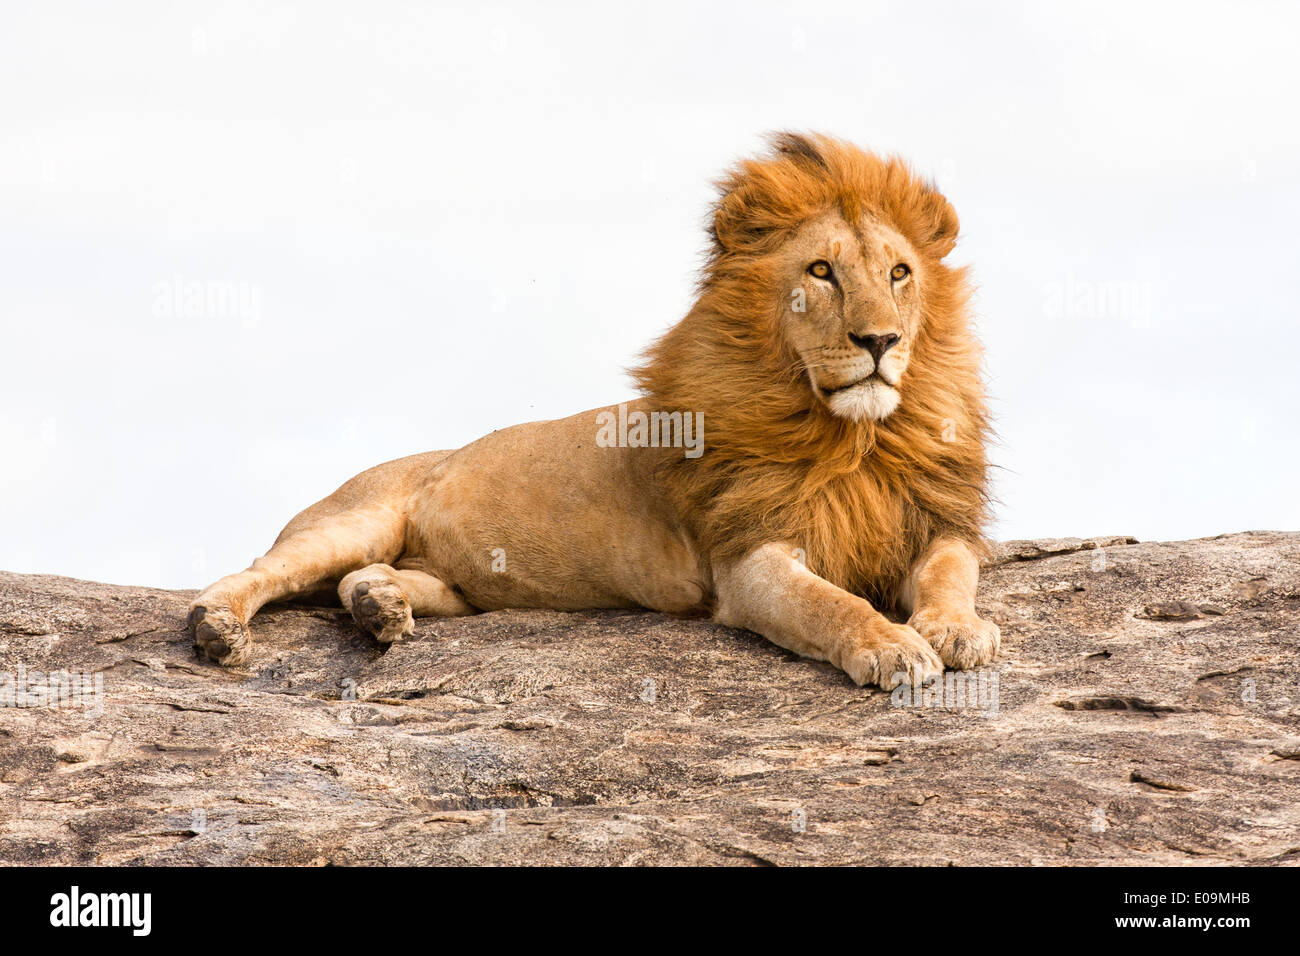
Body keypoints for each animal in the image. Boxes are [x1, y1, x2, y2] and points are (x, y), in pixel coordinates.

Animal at [189, 132, 993, 686]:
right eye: (822, 272)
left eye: (900, 273)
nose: (881, 340)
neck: (854, 439)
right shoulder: (749, 559)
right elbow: (830, 604)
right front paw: (892, 646)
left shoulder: (932, 521)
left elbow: (953, 572)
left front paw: (958, 631)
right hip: (353, 518)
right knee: (259, 569)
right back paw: (217, 626)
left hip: (455, 588)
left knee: (366, 581)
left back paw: (378, 606)